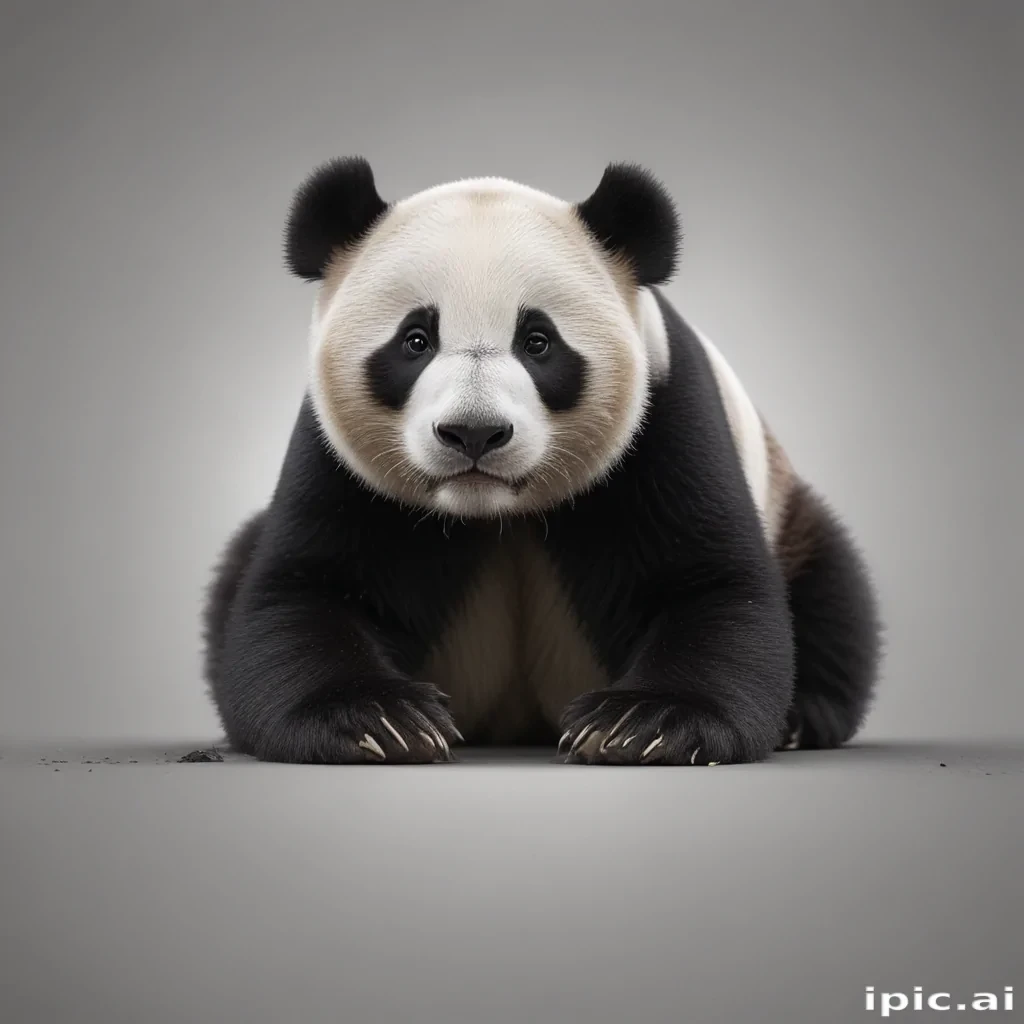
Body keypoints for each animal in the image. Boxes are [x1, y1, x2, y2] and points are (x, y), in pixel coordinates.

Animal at [202, 156, 881, 766]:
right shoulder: (336, 459)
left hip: (787, 508)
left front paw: (644, 726)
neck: (494, 511)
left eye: (538, 342)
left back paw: (801, 719)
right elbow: (302, 590)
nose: (474, 433)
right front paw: (378, 721)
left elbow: (712, 586)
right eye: (415, 340)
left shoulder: (666, 418)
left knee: (831, 591)